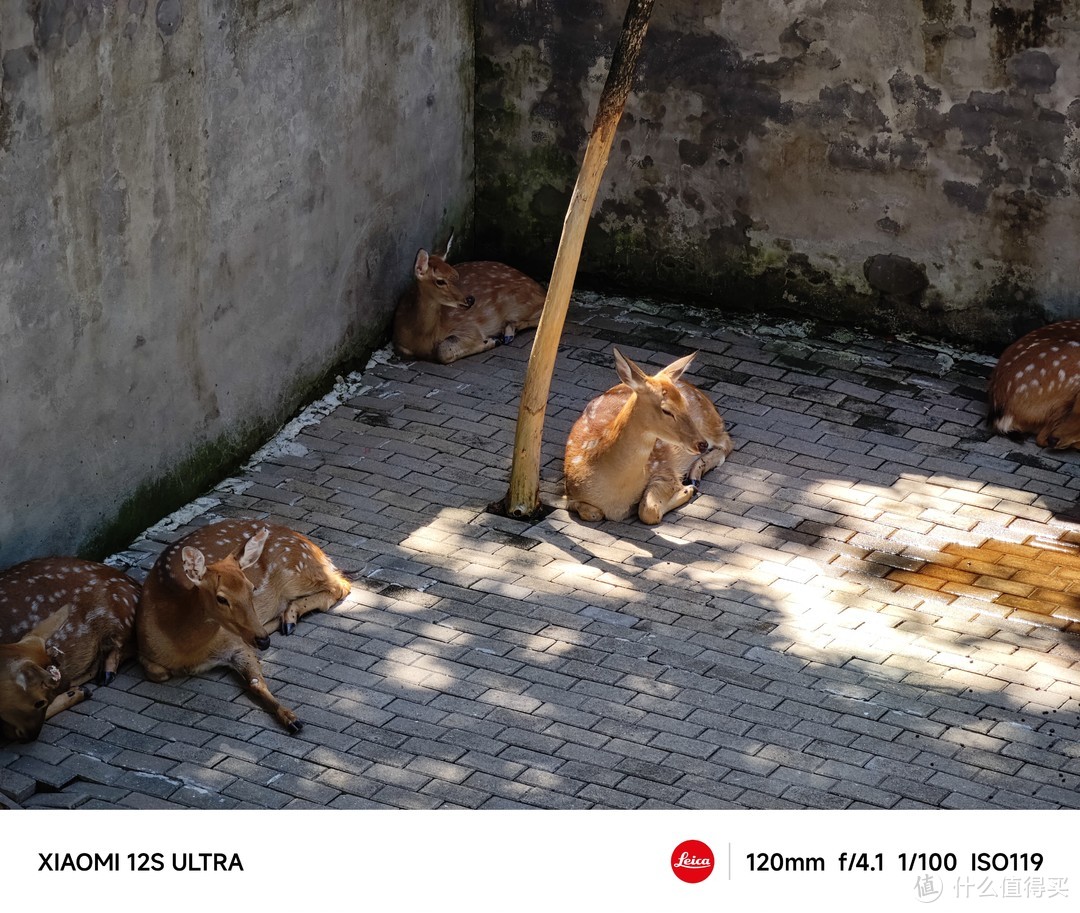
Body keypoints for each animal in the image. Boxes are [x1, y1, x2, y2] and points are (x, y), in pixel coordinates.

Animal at [136, 520, 349, 734]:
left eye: (252, 587)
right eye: (221, 598)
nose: (263, 641)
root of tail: (312, 546)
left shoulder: (236, 643)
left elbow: (255, 683)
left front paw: (292, 718)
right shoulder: (144, 650)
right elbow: (159, 672)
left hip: (297, 571)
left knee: (340, 585)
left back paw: (288, 618)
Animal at [390, 231, 548, 363]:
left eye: (455, 273)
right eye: (440, 281)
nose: (470, 299)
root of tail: (540, 288)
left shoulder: (469, 327)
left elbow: (443, 351)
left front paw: (491, 341)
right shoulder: (400, 344)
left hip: (519, 303)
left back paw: (508, 332)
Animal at [565, 347, 734, 522]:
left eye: (684, 404)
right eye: (666, 410)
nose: (701, 444)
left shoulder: (665, 471)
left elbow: (648, 511)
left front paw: (688, 490)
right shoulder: (569, 493)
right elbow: (592, 513)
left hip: (708, 424)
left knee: (726, 443)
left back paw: (695, 475)